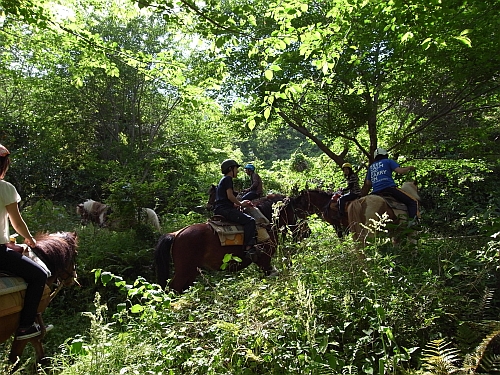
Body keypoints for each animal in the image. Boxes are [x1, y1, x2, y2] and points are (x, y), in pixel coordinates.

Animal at [153, 194, 296, 294]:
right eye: (294, 211)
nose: (297, 231)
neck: (264, 222)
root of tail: (175, 234)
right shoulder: (265, 260)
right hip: (184, 271)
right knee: (173, 288)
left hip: (191, 271)